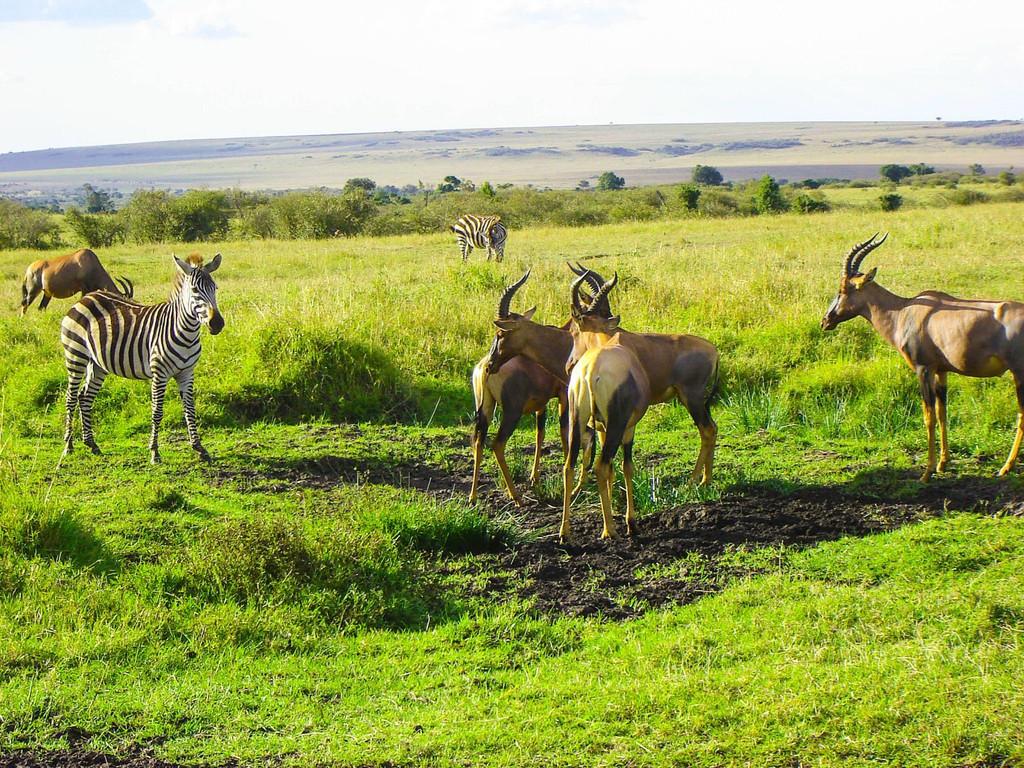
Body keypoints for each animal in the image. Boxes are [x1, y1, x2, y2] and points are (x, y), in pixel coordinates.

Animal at [59, 256, 224, 466]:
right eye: (195, 290)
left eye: (215, 288)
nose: (217, 323)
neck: (184, 331)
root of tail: (86, 298)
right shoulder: (159, 374)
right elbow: (157, 412)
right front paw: (154, 452)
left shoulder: (187, 373)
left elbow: (190, 410)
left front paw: (199, 448)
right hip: (76, 355)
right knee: (71, 398)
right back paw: (68, 446)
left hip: (97, 364)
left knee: (85, 397)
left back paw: (92, 444)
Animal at [468, 270, 573, 505]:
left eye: (500, 333)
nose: (491, 364)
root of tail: (481, 369)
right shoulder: (564, 396)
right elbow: (564, 432)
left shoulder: (542, 402)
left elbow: (540, 433)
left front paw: (535, 478)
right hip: (512, 411)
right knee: (497, 444)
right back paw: (516, 496)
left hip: (485, 408)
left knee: (479, 441)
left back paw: (473, 496)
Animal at [489, 268, 720, 487]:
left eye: (500, 333)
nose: (490, 364)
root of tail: (714, 351)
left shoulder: (568, 400)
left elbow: (568, 437)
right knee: (712, 428)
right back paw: (706, 479)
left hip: (691, 398)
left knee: (707, 429)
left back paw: (696, 480)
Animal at [557, 274, 651, 544]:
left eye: (575, 330)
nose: (569, 364)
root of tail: (590, 372)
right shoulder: (628, 427)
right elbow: (626, 467)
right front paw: (631, 523)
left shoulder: (600, 427)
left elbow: (610, 470)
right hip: (617, 424)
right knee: (600, 465)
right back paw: (610, 530)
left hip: (576, 419)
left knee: (569, 466)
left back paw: (564, 533)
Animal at [823, 234, 1024, 483]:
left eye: (843, 288)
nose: (825, 321)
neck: (904, 311)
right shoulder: (941, 371)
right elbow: (942, 413)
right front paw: (942, 464)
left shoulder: (923, 369)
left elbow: (928, 416)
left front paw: (927, 473)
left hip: (1019, 373)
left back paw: (1005, 468)